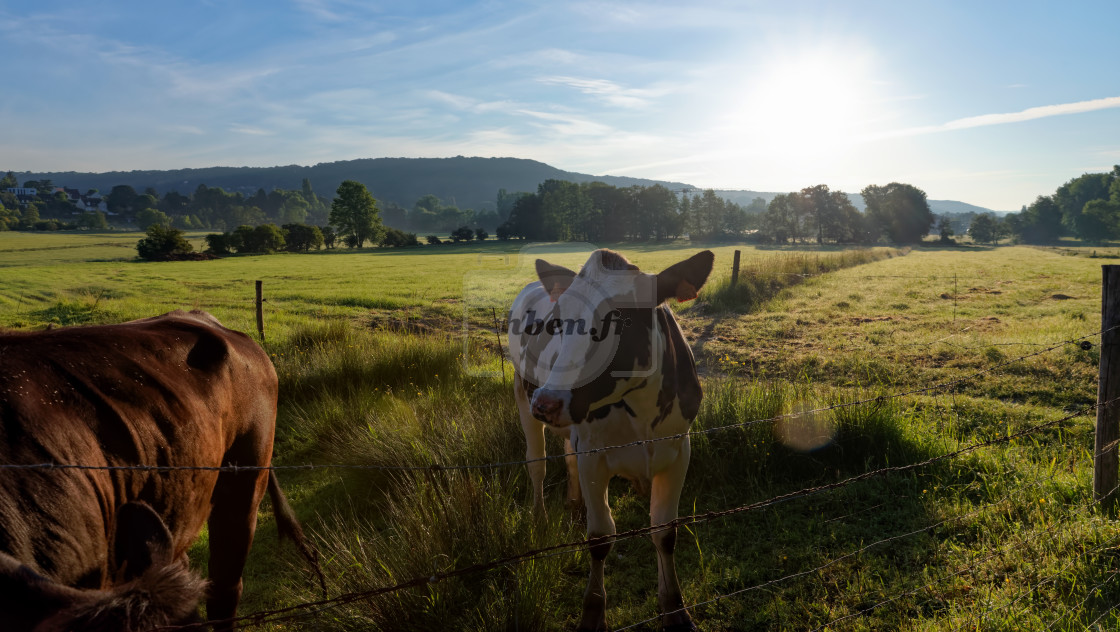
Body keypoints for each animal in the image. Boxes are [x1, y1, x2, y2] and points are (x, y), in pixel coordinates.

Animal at [512, 249, 712, 627]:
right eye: (558, 322)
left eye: (622, 320)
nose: (547, 402)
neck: (644, 411)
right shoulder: (594, 455)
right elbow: (601, 537)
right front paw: (592, 614)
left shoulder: (680, 450)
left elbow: (665, 532)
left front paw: (675, 609)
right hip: (521, 394)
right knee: (536, 464)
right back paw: (540, 517)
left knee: (567, 455)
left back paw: (575, 504)